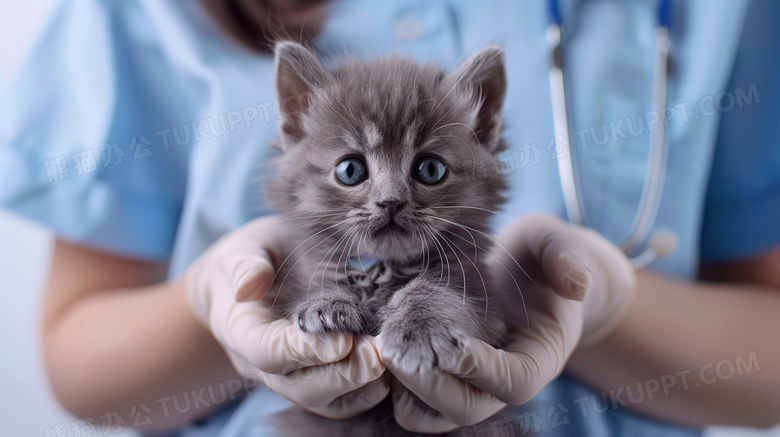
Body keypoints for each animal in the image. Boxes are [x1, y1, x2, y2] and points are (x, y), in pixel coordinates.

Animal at [260, 41, 516, 436]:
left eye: (430, 169)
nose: (391, 202)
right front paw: (326, 303)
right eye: (350, 170)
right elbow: (321, 278)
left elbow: (437, 291)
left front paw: (419, 329)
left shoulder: (484, 296)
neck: (385, 268)